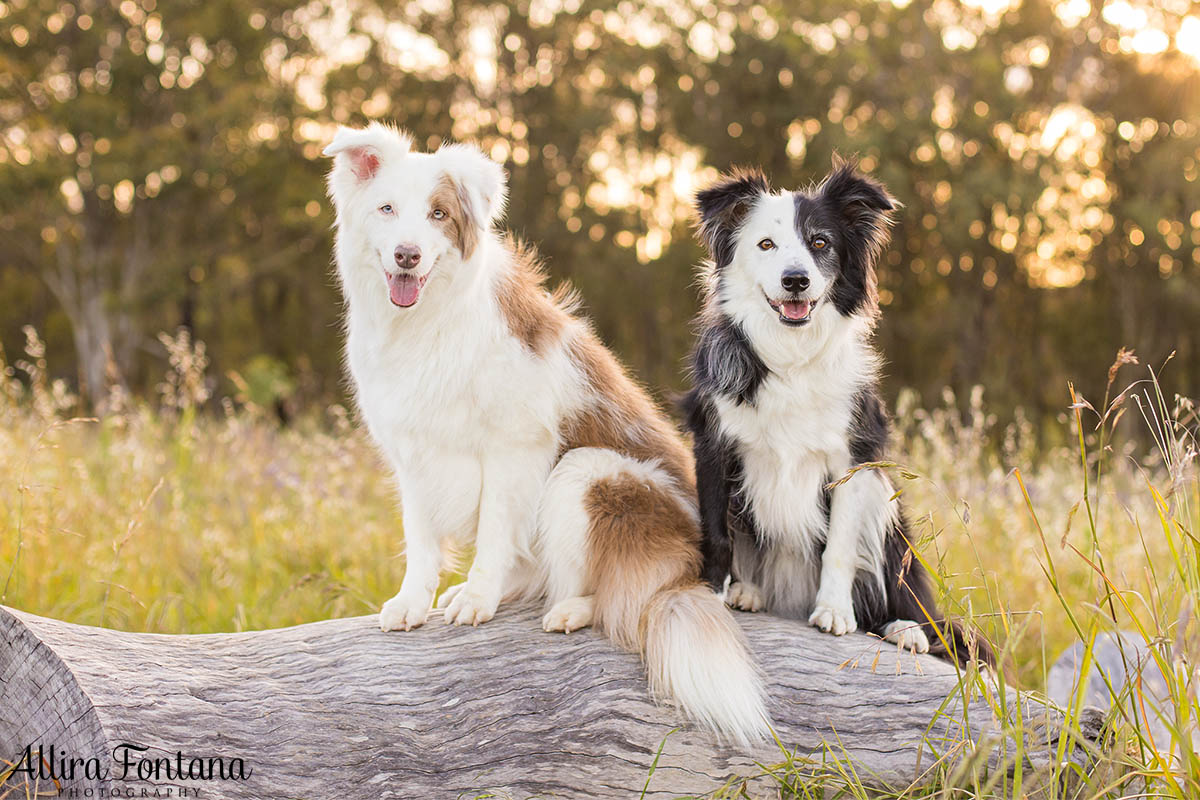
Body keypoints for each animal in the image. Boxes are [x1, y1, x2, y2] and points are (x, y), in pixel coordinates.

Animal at [321, 123, 768, 743]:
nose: (406, 255)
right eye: (387, 209)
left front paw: (479, 595)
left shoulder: (514, 445)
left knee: (615, 593)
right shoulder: (413, 456)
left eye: (438, 214)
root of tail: (686, 572)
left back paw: (570, 609)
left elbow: (492, 533)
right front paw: (414, 601)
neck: (427, 321)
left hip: (588, 474)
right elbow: (422, 541)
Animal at [691, 159, 988, 666]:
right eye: (765, 244)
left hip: (889, 510)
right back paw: (749, 591)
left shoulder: (854, 461)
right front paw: (713, 592)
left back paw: (906, 628)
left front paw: (833, 610)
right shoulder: (713, 443)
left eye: (820, 243)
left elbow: (840, 548)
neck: (791, 355)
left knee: (907, 595)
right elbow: (718, 532)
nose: (795, 280)